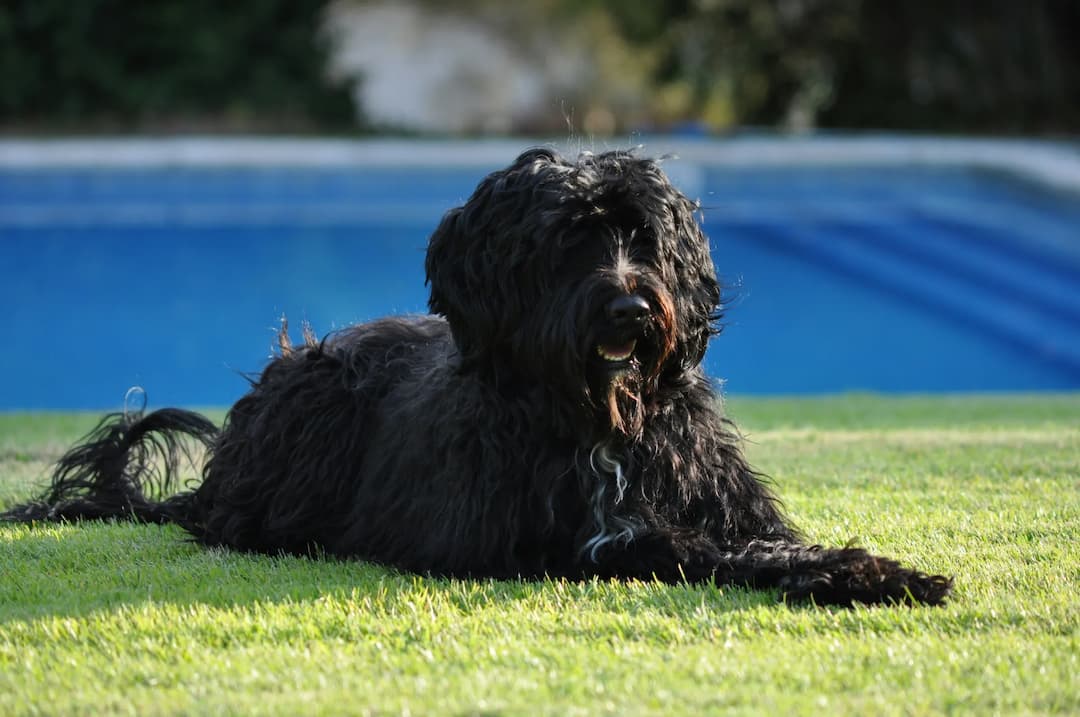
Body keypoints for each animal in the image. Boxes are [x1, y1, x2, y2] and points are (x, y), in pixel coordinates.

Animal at [0, 150, 950, 604]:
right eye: (566, 240)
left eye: (642, 237)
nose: (630, 311)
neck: (598, 419)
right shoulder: (558, 538)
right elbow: (682, 546)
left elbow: (768, 539)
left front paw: (869, 567)